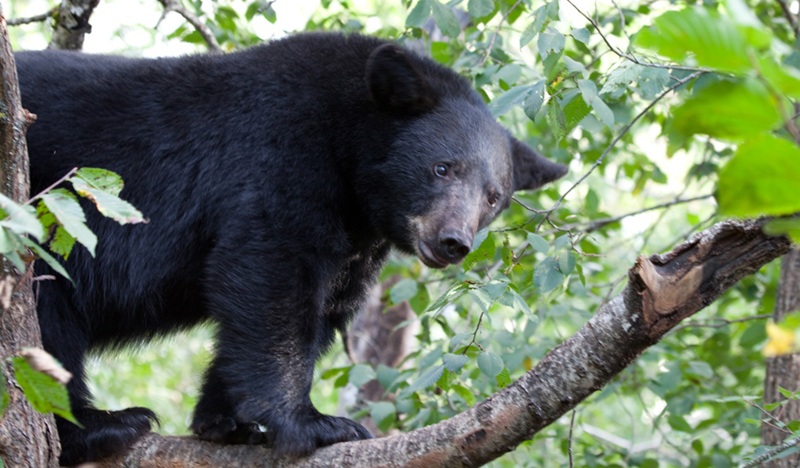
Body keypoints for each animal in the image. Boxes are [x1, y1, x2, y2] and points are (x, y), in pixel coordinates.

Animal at [15, 32, 567, 465]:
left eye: (493, 196)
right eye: (442, 168)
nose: (453, 241)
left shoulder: (356, 238)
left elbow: (320, 303)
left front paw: (224, 419)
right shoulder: (281, 154)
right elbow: (271, 274)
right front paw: (314, 423)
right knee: (48, 318)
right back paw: (102, 425)